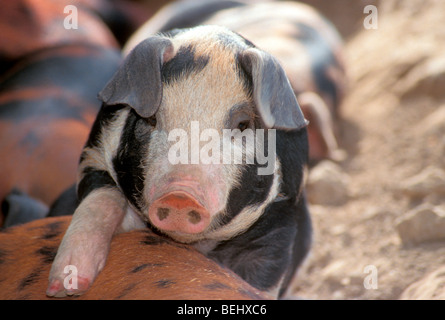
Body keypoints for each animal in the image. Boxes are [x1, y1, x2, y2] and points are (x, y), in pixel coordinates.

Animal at [46, 26, 310, 298]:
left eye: (243, 124)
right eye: (150, 119)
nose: (181, 195)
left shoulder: (283, 210)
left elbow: (264, 271)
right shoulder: (94, 154)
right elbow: (100, 202)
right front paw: (64, 287)